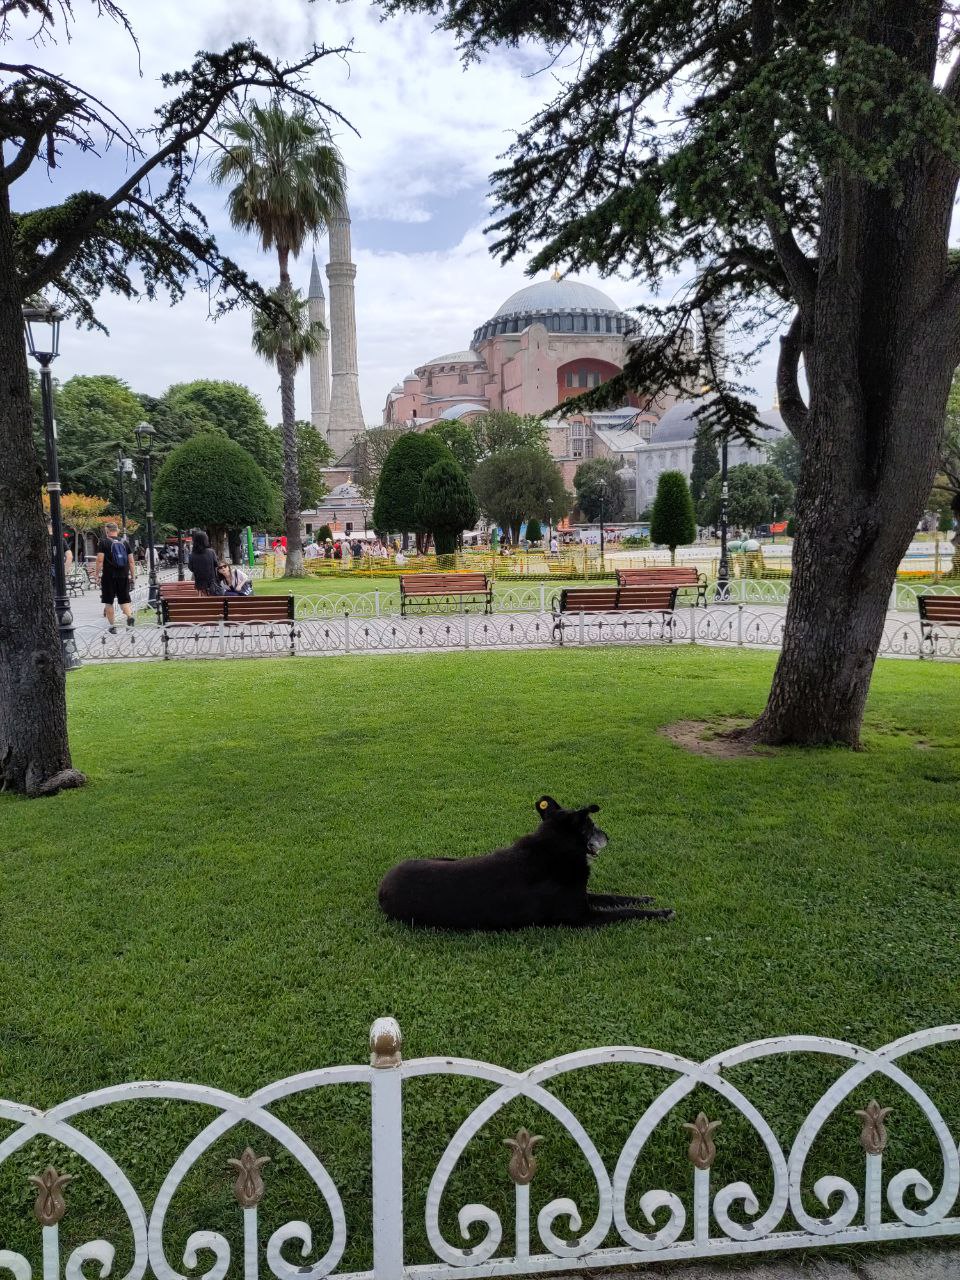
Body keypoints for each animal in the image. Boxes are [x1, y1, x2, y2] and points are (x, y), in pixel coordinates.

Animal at [378, 788, 675, 931]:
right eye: (591, 825)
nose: (609, 837)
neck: (554, 848)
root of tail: (382, 886)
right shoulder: (581, 916)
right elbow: (625, 912)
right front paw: (660, 913)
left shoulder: (583, 896)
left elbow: (616, 897)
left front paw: (646, 898)